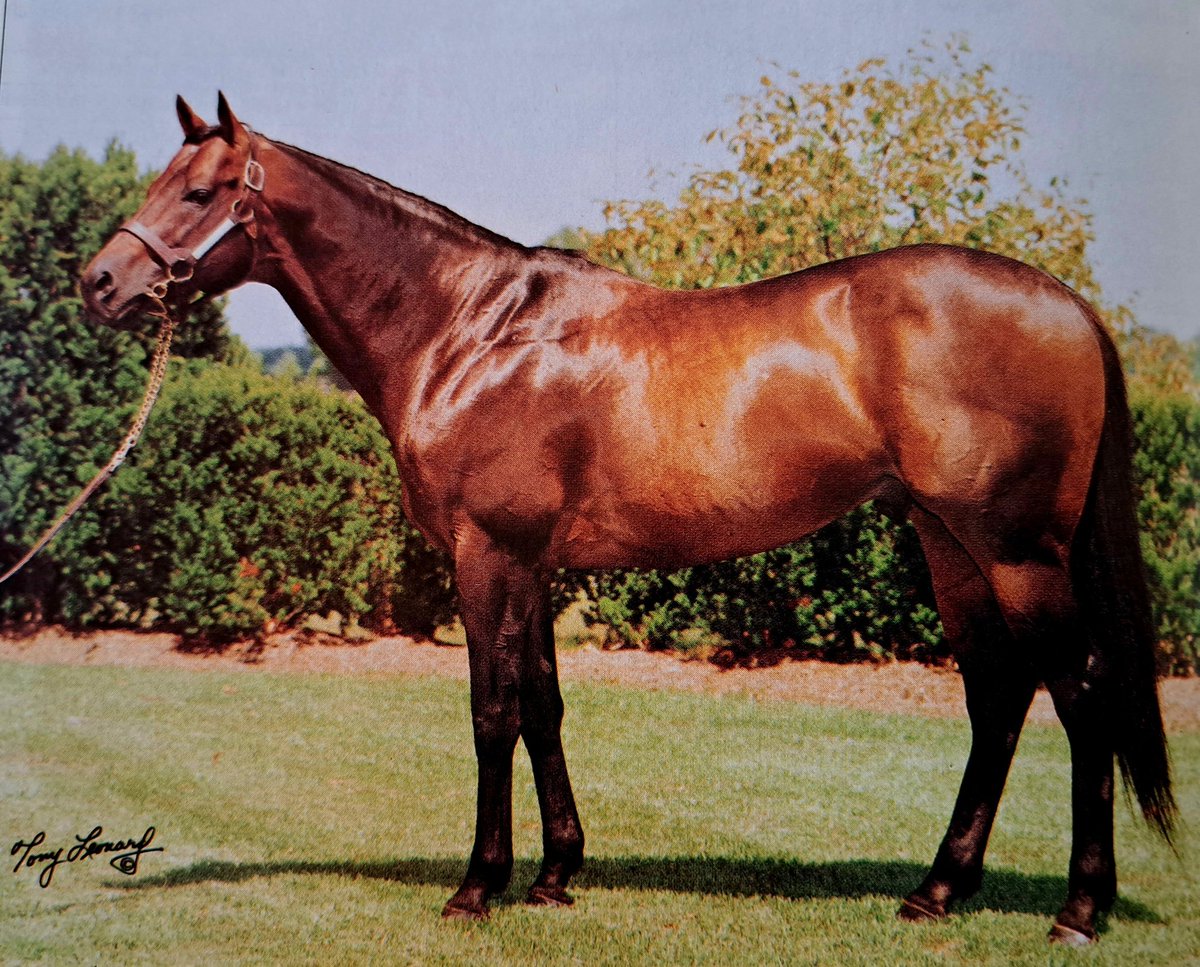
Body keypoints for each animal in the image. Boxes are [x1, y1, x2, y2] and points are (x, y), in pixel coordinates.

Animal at [81, 94, 1174, 945]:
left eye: (200, 192)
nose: (99, 282)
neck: (469, 330)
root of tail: (1070, 306)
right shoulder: (533, 564)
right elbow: (543, 706)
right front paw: (557, 874)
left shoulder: (487, 555)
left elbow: (490, 712)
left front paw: (477, 885)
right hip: (948, 544)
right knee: (999, 697)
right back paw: (937, 890)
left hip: (1016, 552)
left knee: (1078, 690)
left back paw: (1077, 909)